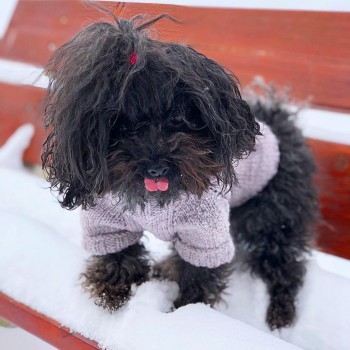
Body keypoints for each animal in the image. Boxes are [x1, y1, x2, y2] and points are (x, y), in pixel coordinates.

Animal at [41, 14, 318, 330]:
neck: (154, 198)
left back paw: (281, 312)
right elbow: (117, 254)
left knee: (285, 263)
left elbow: (199, 273)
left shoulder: (204, 231)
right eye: (120, 125)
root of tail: (280, 122)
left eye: (176, 118)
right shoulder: (109, 222)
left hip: (271, 214)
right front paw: (112, 293)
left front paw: (188, 311)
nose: (156, 166)